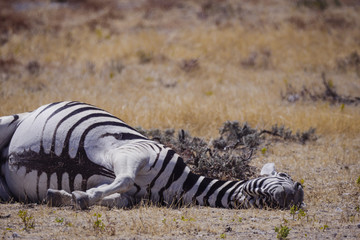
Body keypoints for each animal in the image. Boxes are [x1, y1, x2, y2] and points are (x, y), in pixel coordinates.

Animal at [0, 101, 304, 210]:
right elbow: (123, 179)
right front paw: (84, 196)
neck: (179, 185)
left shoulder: (131, 193)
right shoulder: (134, 151)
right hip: (9, 120)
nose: (295, 195)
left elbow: (119, 197)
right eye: (285, 175)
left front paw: (67, 195)